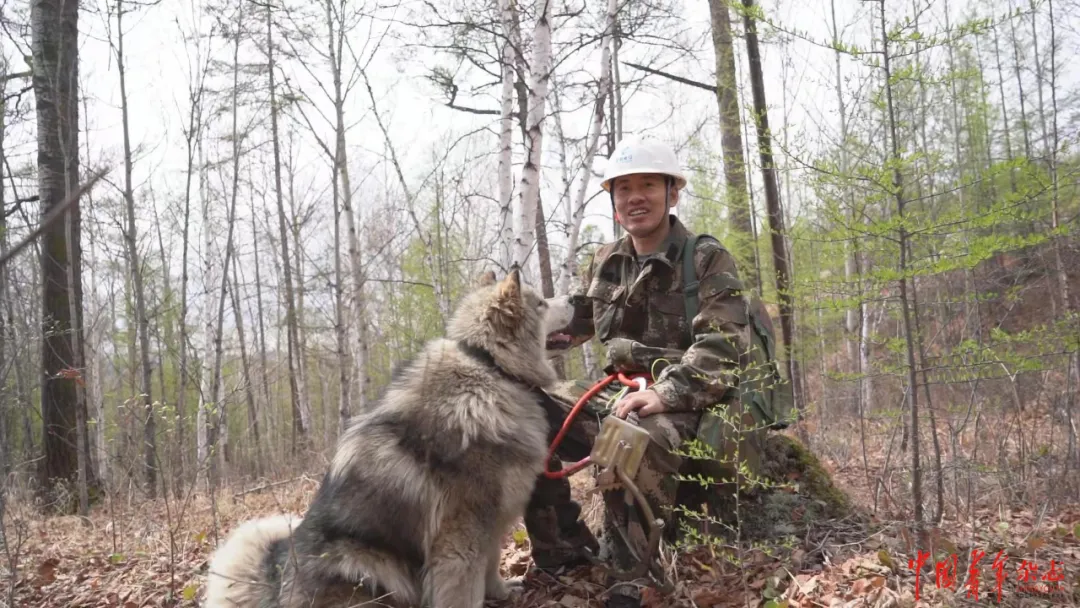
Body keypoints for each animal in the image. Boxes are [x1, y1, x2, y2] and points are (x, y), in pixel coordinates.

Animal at [203, 271, 574, 608]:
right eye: (541, 304)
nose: (574, 297)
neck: (490, 367)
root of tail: (277, 586)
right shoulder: (460, 534)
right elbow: (464, 591)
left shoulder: (493, 521)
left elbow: (491, 564)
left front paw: (501, 591)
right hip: (366, 562)